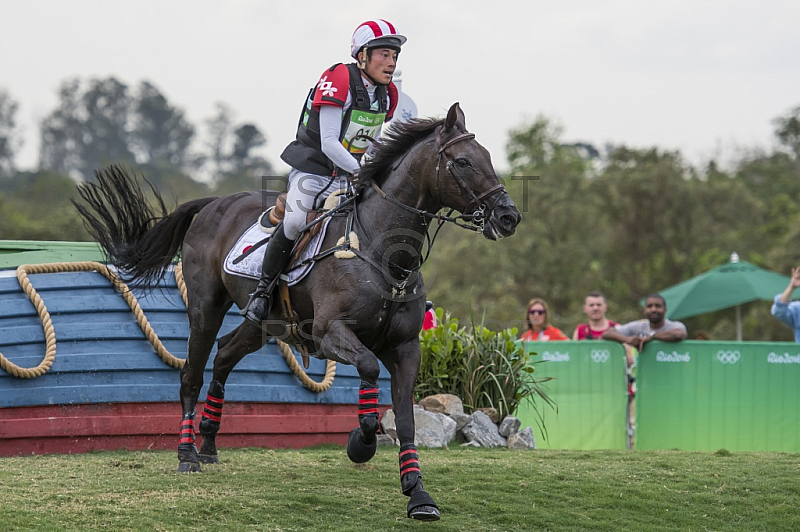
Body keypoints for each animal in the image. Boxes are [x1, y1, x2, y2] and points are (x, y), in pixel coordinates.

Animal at [75, 103, 520, 520]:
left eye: (488, 156)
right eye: (462, 162)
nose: (508, 217)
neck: (383, 250)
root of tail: (214, 203)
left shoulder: (406, 347)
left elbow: (408, 419)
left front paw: (418, 494)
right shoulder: (330, 332)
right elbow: (368, 372)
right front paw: (362, 443)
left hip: (264, 325)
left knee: (225, 355)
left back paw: (209, 442)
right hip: (205, 308)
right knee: (192, 373)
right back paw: (187, 454)